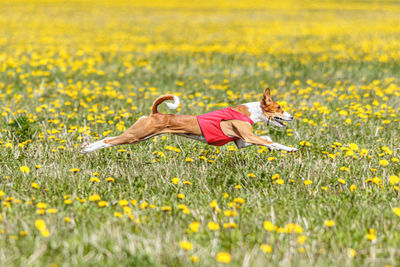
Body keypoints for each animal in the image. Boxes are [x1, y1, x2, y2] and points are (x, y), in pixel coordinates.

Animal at [81, 88, 296, 154]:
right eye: (279, 108)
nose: (292, 117)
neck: (249, 112)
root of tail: (155, 113)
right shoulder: (247, 136)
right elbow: (271, 141)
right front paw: (290, 148)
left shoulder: (242, 141)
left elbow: (267, 138)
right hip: (136, 135)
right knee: (108, 140)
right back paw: (88, 149)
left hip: (141, 135)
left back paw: (86, 146)